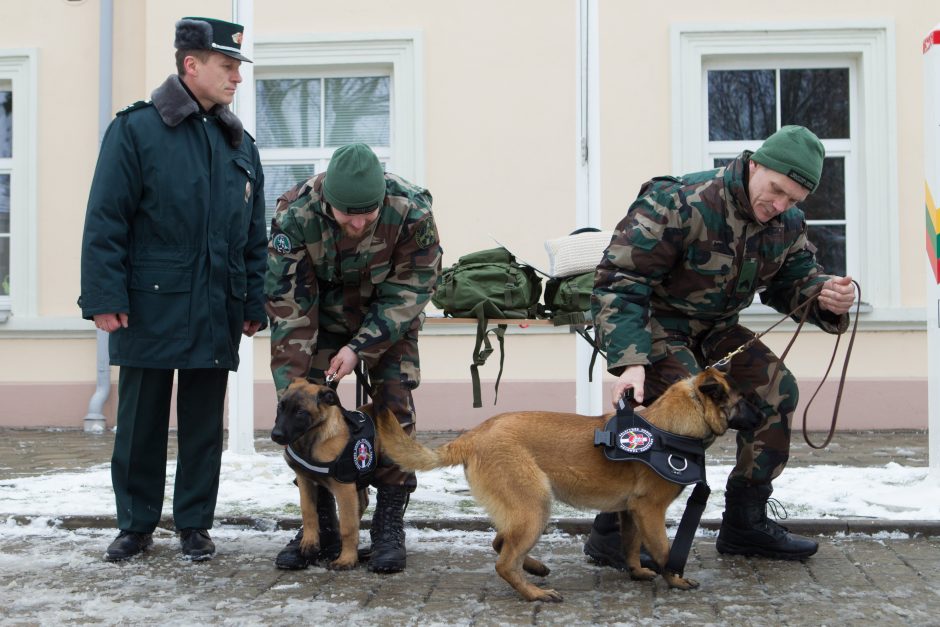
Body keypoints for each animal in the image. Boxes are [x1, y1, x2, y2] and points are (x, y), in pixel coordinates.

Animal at [268, 380, 374, 572]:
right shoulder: (305, 481)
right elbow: (308, 510)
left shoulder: (344, 489)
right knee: (362, 503)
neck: (313, 437)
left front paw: (347, 559)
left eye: (300, 412)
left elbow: (348, 526)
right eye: (280, 407)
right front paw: (310, 542)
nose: (275, 435)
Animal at [378, 368, 744, 604]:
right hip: (536, 507)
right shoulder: (650, 510)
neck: (670, 428)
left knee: (501, 543)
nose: (760, 412)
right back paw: (534, 593)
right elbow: (666, 550)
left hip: (524, 510)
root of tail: (474, 434)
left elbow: (630, 546)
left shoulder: (631, 512)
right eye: (745, 399)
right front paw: (676, 578)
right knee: (504, 561)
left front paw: (637, 572)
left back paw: (535, 569)